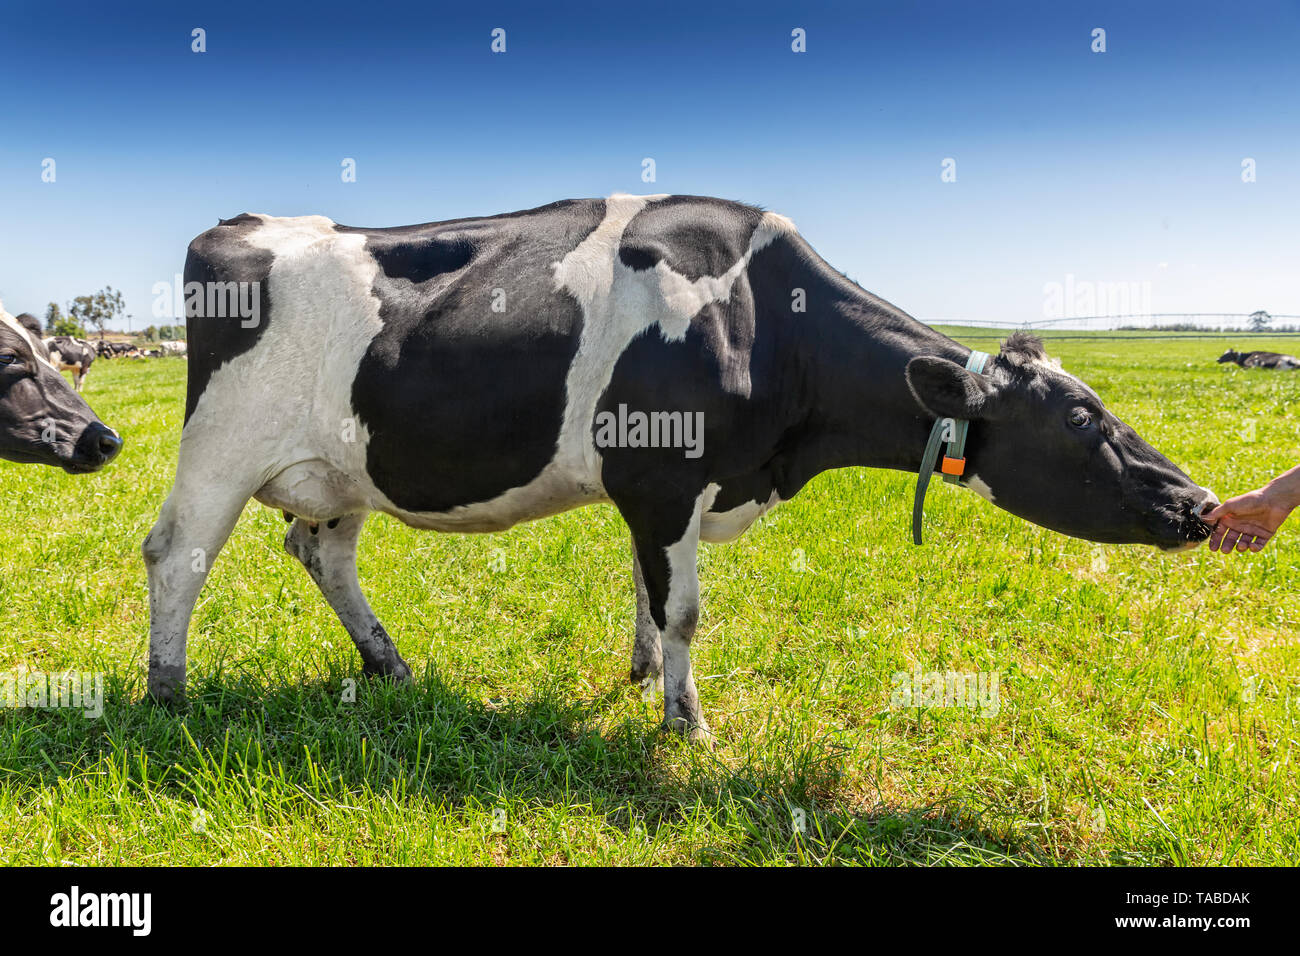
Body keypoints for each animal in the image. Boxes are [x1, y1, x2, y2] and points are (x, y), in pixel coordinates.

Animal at [143, 195, 1217, 741]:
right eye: (1079, 416)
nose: (1199, 501)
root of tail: (241, 222)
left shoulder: (658, 492)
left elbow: (648, 591)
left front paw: (643, 674)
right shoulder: (664, 478)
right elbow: (687, 608)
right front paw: (685, 721)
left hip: (343, 468)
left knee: (322, 552)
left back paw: (390, 664)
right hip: (221, 445)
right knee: (175, 554)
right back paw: (166, 691)